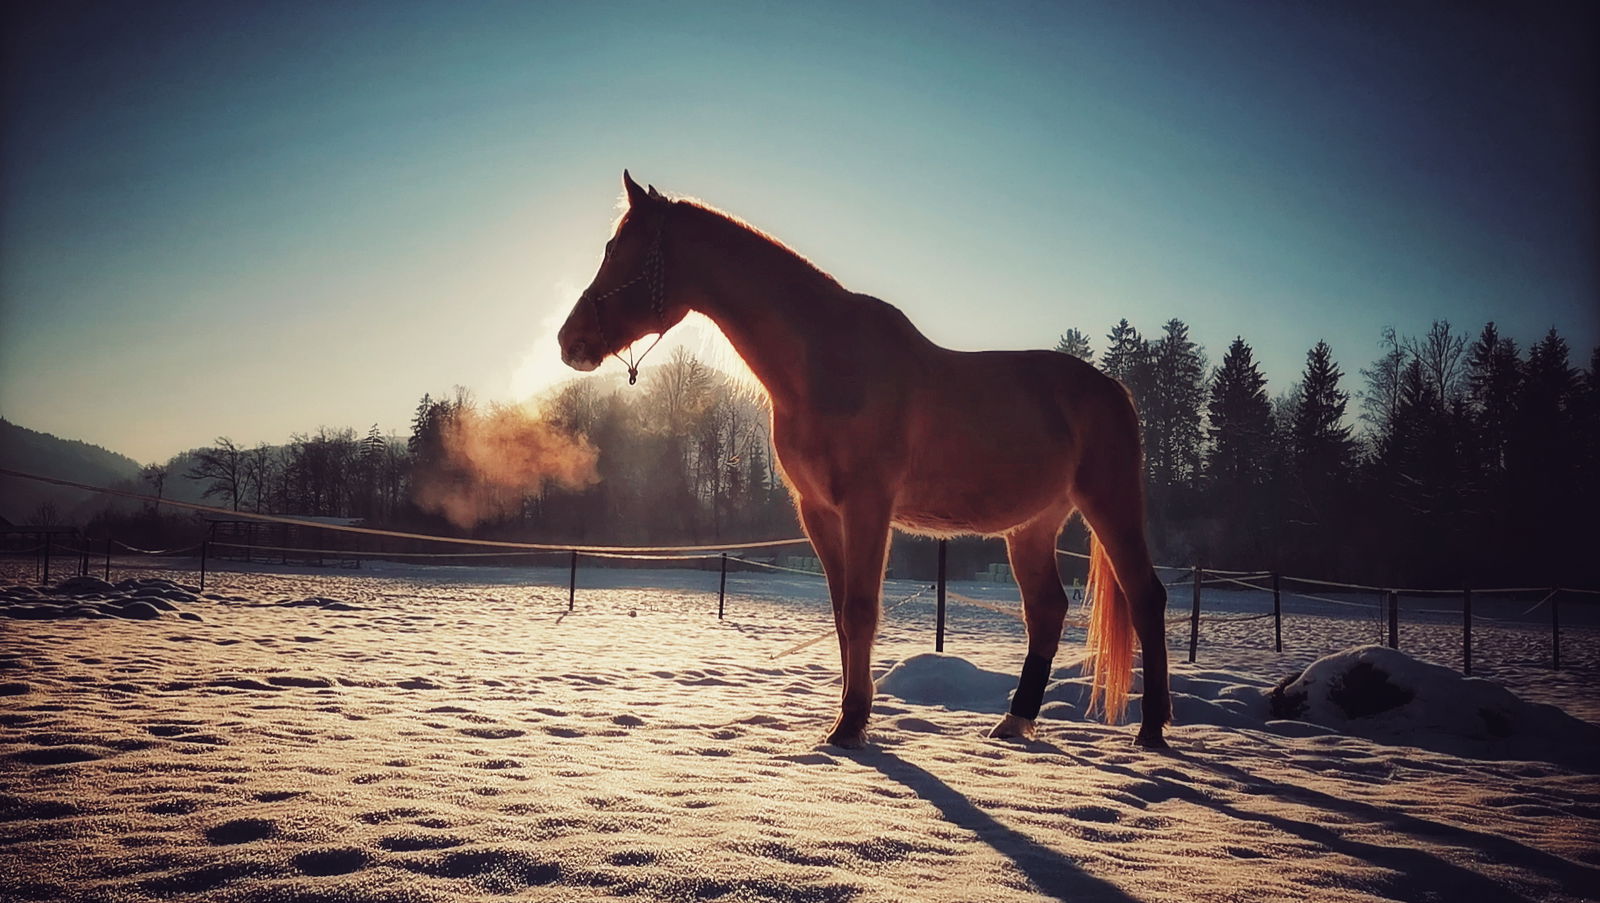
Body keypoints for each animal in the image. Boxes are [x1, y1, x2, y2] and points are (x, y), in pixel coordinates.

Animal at [556, 169, 1171, 749]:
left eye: (619, 248)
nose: (569, 341)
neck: (824, 365)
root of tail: (1112, 389)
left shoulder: (868, 506)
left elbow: (861, 609)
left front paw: (851, 724)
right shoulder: (819, 512)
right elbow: (840, 613)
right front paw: (850, 715)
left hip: (1109, 504)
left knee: (1146, 597)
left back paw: (1152, 730)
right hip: (1032, 527)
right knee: (1046, 612)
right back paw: (1015, 722)